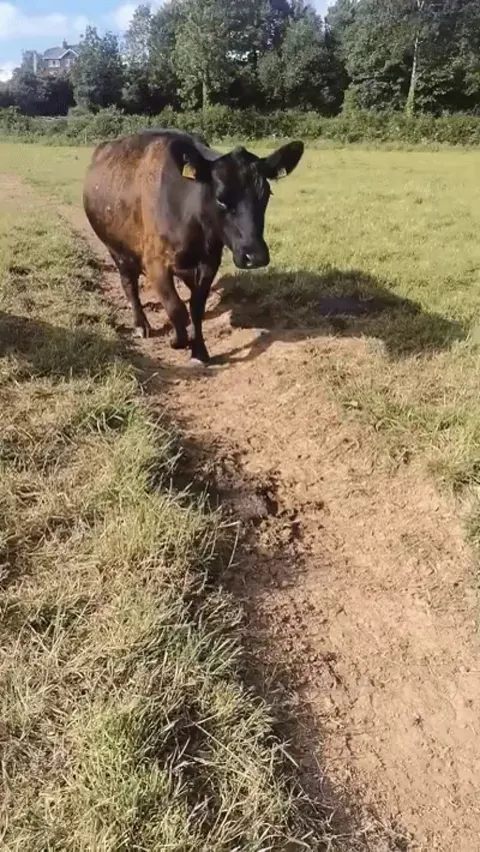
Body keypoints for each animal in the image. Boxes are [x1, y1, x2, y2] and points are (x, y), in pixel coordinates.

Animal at [83, 129, 304, 364]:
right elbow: (176, 308)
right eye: (220, 199)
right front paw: (178, 341)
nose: (255, 255)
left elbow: (196, 306)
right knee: (129, 285)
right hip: (117, 249)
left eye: (266, 195)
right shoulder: (155, 263)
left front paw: (199, 350)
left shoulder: (209, 262)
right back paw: (141, 325)